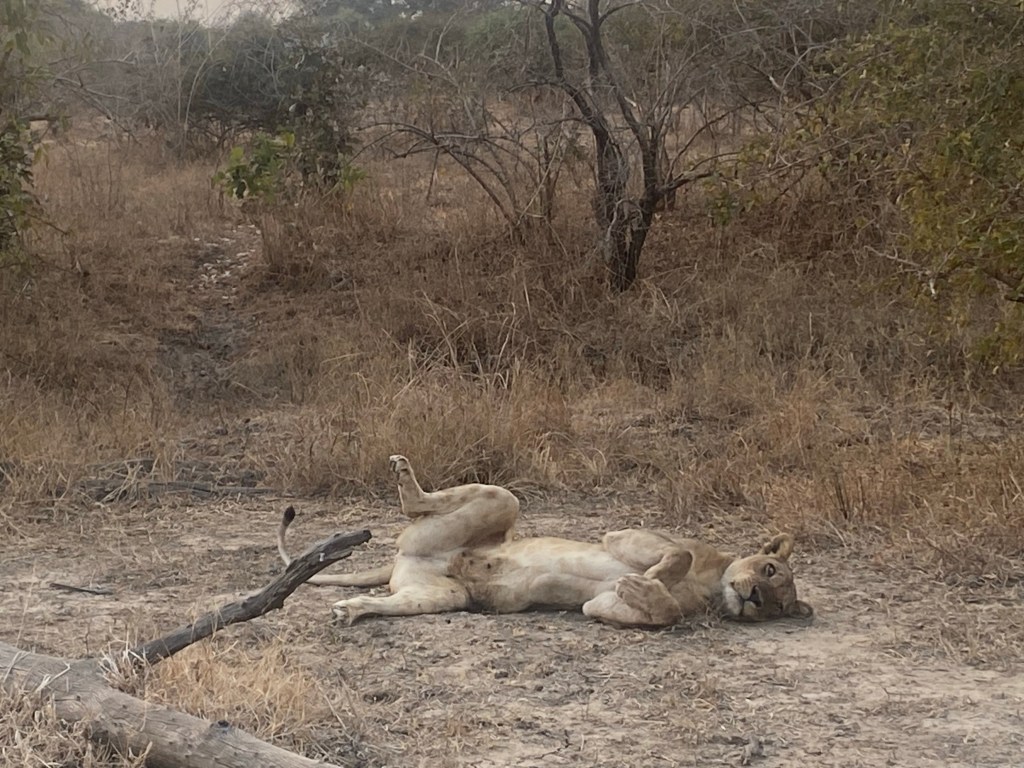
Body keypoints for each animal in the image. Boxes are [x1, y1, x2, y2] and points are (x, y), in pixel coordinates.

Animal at [277, 455, 813, 628]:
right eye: (769, 570)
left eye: (777, 606)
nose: (754, 597)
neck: (713, 585)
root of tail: (404, 558)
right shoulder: (626, 534)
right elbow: (675, 553)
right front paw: (652, 578)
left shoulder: (598, 606)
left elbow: (659, 612)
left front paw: (645, 591)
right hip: (503, 500)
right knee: (419, 505)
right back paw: (405, 477)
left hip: (440, 597)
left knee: (389, 602)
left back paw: (350, 611)